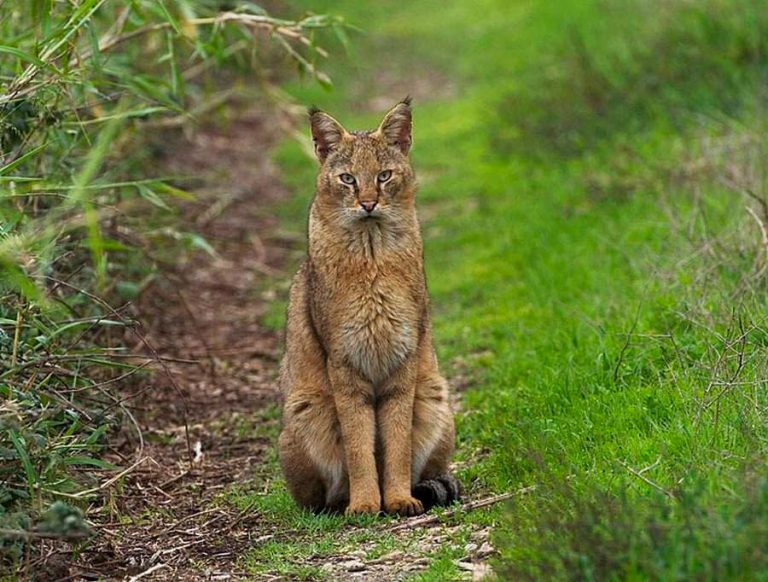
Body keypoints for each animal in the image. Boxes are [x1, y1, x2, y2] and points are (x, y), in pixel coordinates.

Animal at [278, 98, 462, 516]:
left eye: (383, 176)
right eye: (347, 178)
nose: (367, 203)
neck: (371, 252)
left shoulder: (402, 359)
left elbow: (396, 443)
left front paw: (397, 498)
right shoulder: (344, 363)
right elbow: (359, 444)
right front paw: (365, 502)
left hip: (434, 393)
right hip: (305, 406)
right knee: (318, 497)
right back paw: (341, 502)